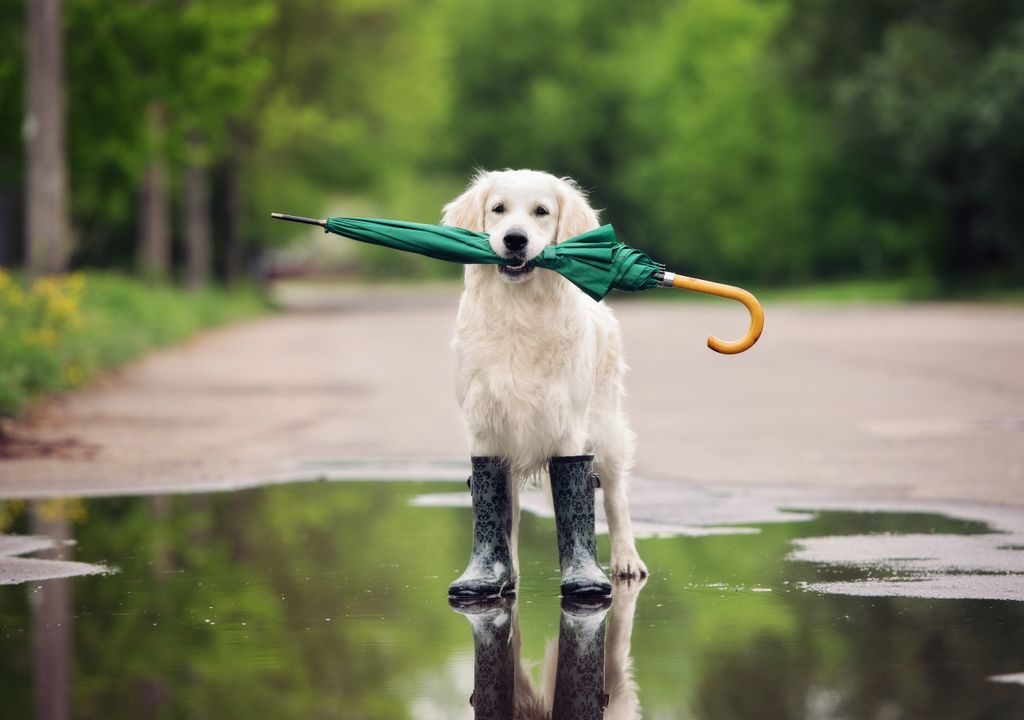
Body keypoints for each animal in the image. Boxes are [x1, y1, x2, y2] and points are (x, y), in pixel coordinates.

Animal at [440, 168, 647, 581]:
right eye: (498, 209)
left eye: (541, 211)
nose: (514, 239)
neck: (519, 312)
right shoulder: (486, 427)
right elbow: (500, 510)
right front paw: (497, 573)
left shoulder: (567, 427)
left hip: (606, 429)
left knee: (615, 496)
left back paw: (626, 559)